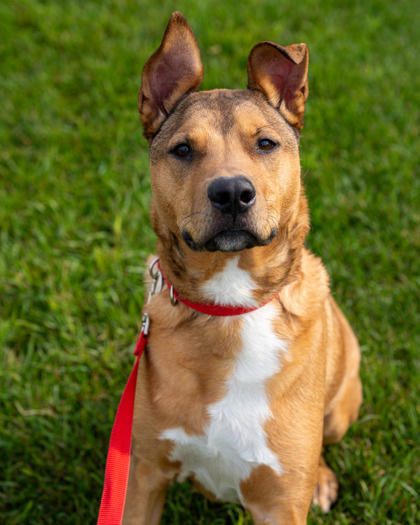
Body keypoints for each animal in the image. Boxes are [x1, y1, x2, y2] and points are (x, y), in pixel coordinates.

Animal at [123, 12, 362, 524]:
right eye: (183, 150)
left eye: (266, 143)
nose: (232, 192)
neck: (231, 306)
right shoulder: (141, 475)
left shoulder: (280, 503)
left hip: (340, 405)